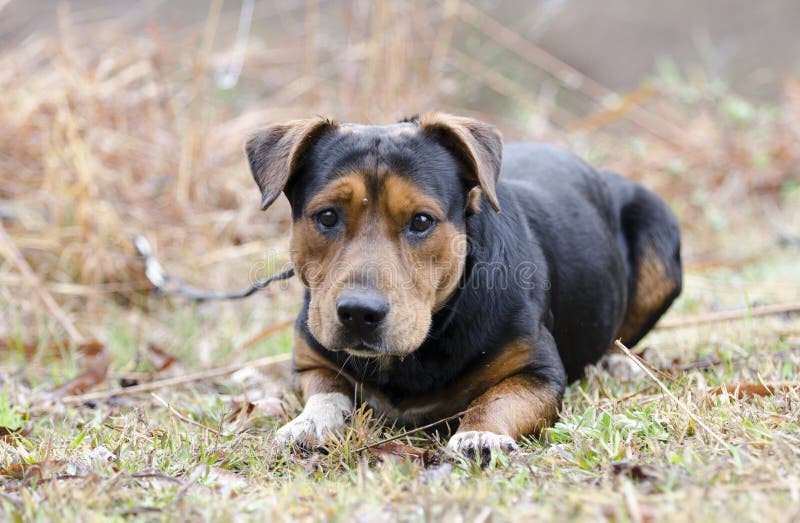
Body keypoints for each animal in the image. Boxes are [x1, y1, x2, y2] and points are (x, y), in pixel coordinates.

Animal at [245, 112, 680, 456]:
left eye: (421, 221)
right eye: (327, 216)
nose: (358, 313)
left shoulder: (538, 373)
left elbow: (497, 401)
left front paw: (480, 435)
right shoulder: (312, 361)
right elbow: (327, 392)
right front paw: (309, 423)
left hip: (660, 236)